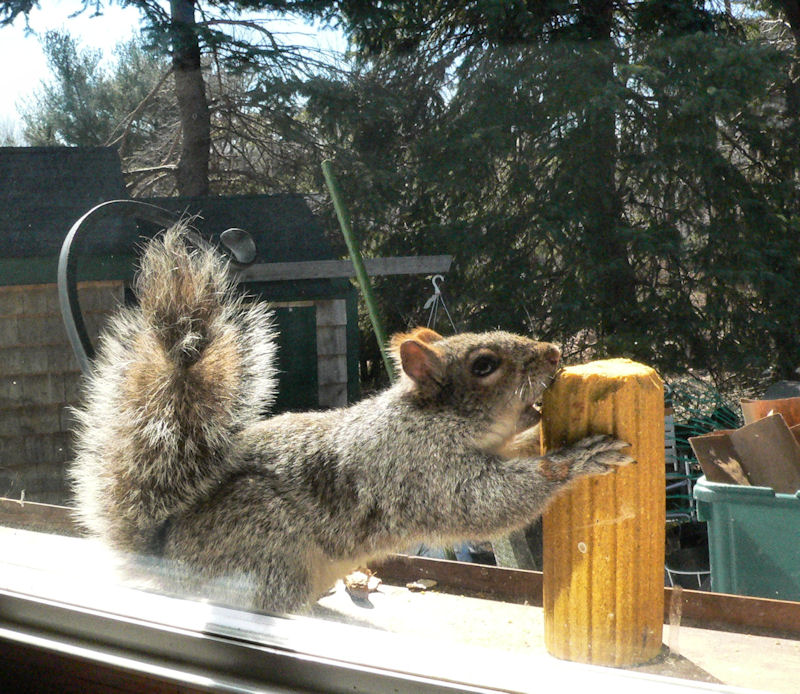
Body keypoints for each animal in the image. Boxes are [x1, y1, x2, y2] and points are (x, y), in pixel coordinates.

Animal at [69, 224, 636, 616]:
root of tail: (167, 566)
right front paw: (578, 457)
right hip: (266, 545)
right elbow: (485, 501)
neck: (435, 420)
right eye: (484, 366)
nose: (555, 352)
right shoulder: (418, 470)